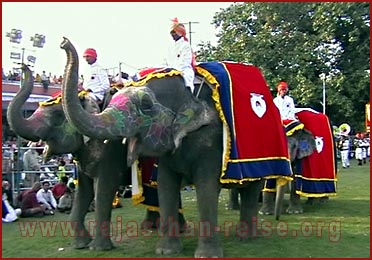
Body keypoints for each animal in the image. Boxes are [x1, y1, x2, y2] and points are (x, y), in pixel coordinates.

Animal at [60, 37, 294, 256]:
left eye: (146, 106)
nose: (63, 42)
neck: (185, 91)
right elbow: (165, 186)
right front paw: (166, 251)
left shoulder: (212, 138)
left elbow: (206, 187)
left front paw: (207, 255)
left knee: (252, 190)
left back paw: (248, 239)